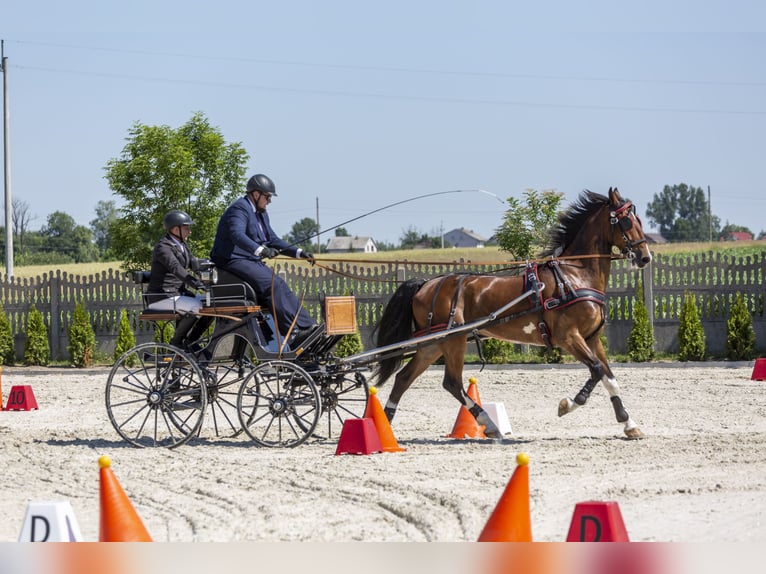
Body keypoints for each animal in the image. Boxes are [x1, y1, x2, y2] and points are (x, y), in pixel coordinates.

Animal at [372, 187, 652, 439]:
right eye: (626, 220)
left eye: (639, 220)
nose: (645, 257)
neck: (574, 275)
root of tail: (426, 284)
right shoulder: (569, 337)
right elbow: (595, 369)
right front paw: (568, 404)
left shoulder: (592, 338)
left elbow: (609, 377)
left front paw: (630, 424)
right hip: (453, 340)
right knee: (451, 382)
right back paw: (489, 423)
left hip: (433, 344)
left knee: (404, 378)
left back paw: (386, 423)